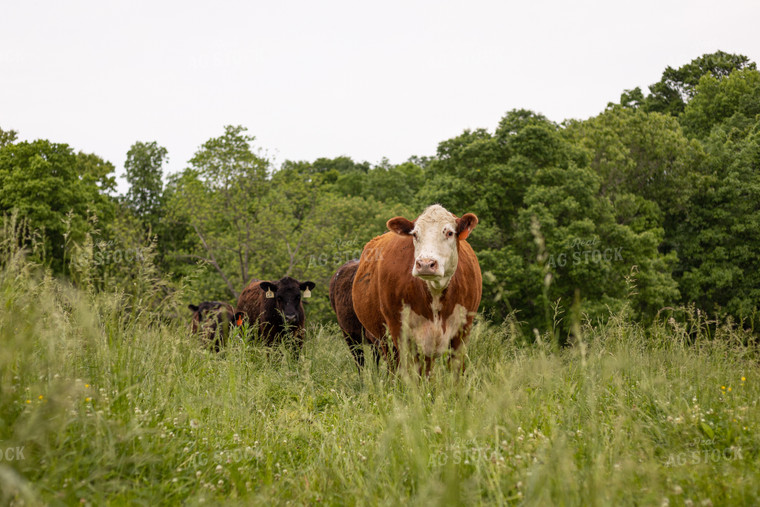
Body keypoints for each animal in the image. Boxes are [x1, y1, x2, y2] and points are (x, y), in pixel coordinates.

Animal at [352, 204, 480, 376]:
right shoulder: (399, 330)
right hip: (385, 338)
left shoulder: (462, 330)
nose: (425, 263)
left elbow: (456, 371)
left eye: (449, 233)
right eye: (415, 234)